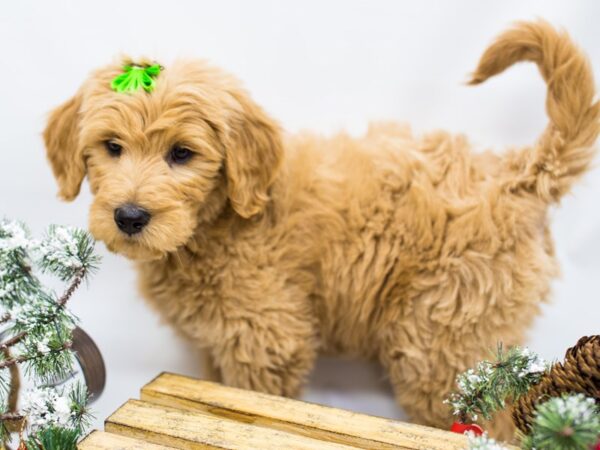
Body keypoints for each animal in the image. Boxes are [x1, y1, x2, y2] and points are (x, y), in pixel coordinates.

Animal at [41, 20, 596, 436]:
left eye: (182, 154)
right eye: (112, 147)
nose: (130, 216)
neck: (217, 224)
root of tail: (517, 174)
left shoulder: (265, 338)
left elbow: (251, 404)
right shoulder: (217, 344)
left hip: (442, 340)